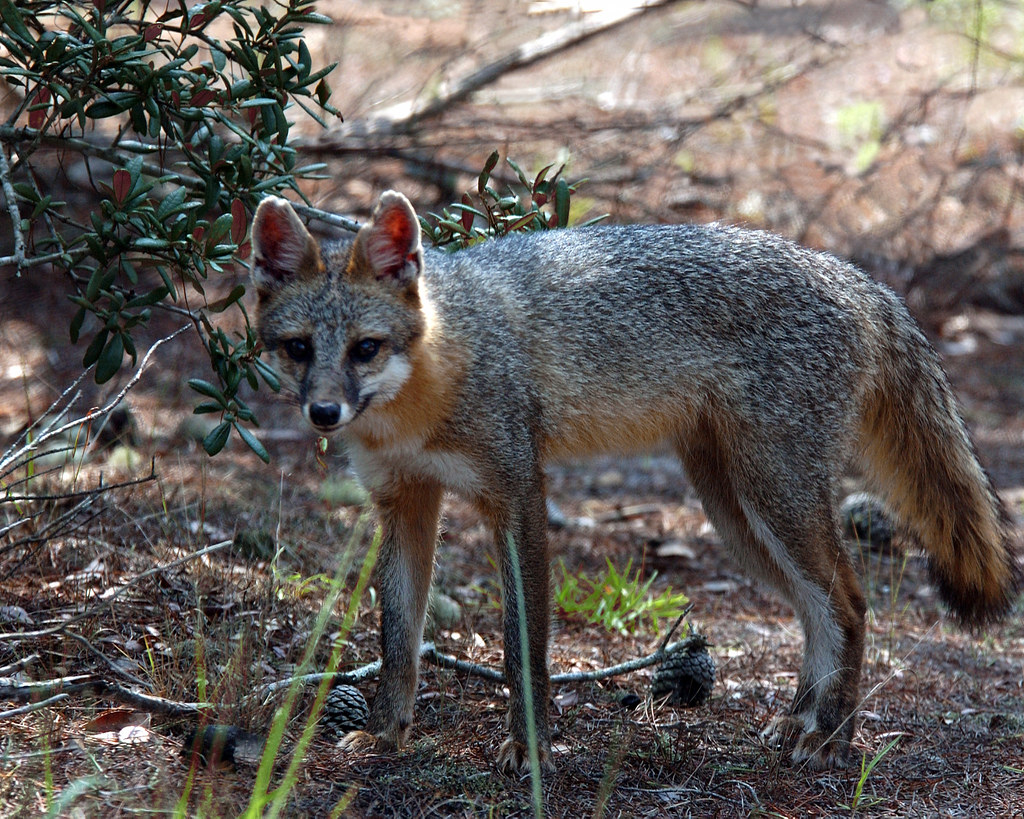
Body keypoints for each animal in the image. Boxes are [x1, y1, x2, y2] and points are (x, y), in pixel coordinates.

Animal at [249, 189, 1020, 773]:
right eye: (298, 350)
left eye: (365, 348)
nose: (323, 413)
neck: (440, 367)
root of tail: (855, 276)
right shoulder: (403, 503)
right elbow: (396, 640)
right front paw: (385, 732)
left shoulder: (518, 495)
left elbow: (522, 646)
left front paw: (530, 751)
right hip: (737, 515)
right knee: (818, 609)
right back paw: (801, 719)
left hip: (774, 500)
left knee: (853, 603)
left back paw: (832, 737)